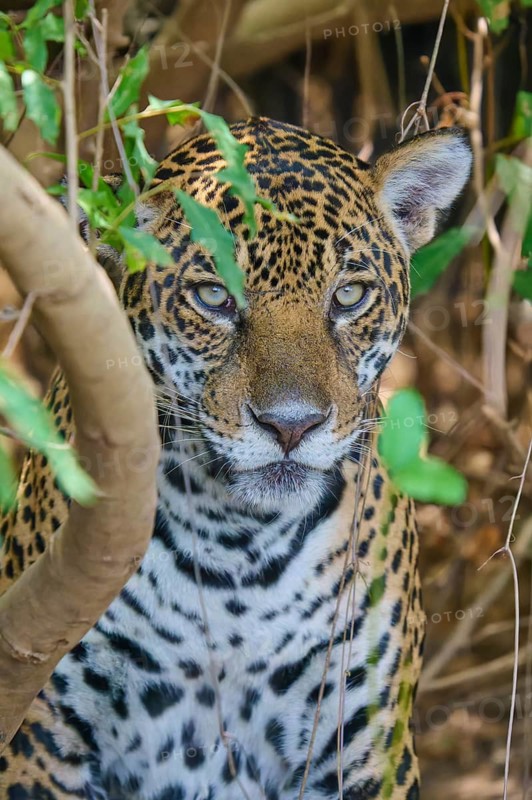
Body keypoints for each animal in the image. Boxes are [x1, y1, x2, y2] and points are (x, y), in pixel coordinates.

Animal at [0, 117, 471, 800]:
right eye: (214, 297)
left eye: (350, 295)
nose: (291, 425)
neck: (238, 549)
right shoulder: (39, 741)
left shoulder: (364, 751)